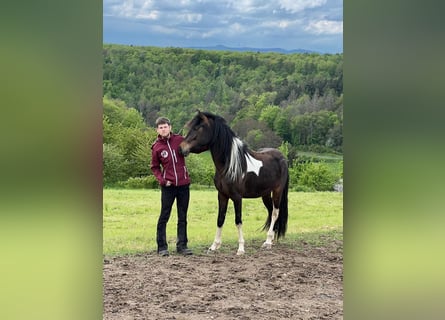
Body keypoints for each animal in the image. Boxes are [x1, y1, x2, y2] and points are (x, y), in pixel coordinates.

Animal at [179, 110, 290, 255]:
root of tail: (283, 158)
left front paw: (241, 248)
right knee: (271, 212)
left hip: (277, 191)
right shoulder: (222, 195)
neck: (229, 165)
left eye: (198, 128)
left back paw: (268, 242)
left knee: (275, 213)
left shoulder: (237, 197)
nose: (181, 148)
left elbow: (238, 220)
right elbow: (220, 219)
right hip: (265, 194)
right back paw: (270, 240)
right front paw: (214, 246)